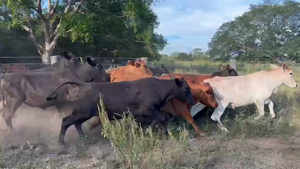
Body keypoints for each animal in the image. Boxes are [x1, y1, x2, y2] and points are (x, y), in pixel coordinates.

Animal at [45, 77, 193, 145]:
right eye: (186, 88)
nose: (191, 101)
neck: (157, 88)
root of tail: (83, 84)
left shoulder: (151, 111)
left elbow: (158, 119)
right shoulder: (147, 109)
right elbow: (161, 118)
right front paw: (165, 134)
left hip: (83, 113)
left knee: (76, 124)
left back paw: (84, 138)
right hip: (82, 112)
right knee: (66, 121)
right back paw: (61, 143)